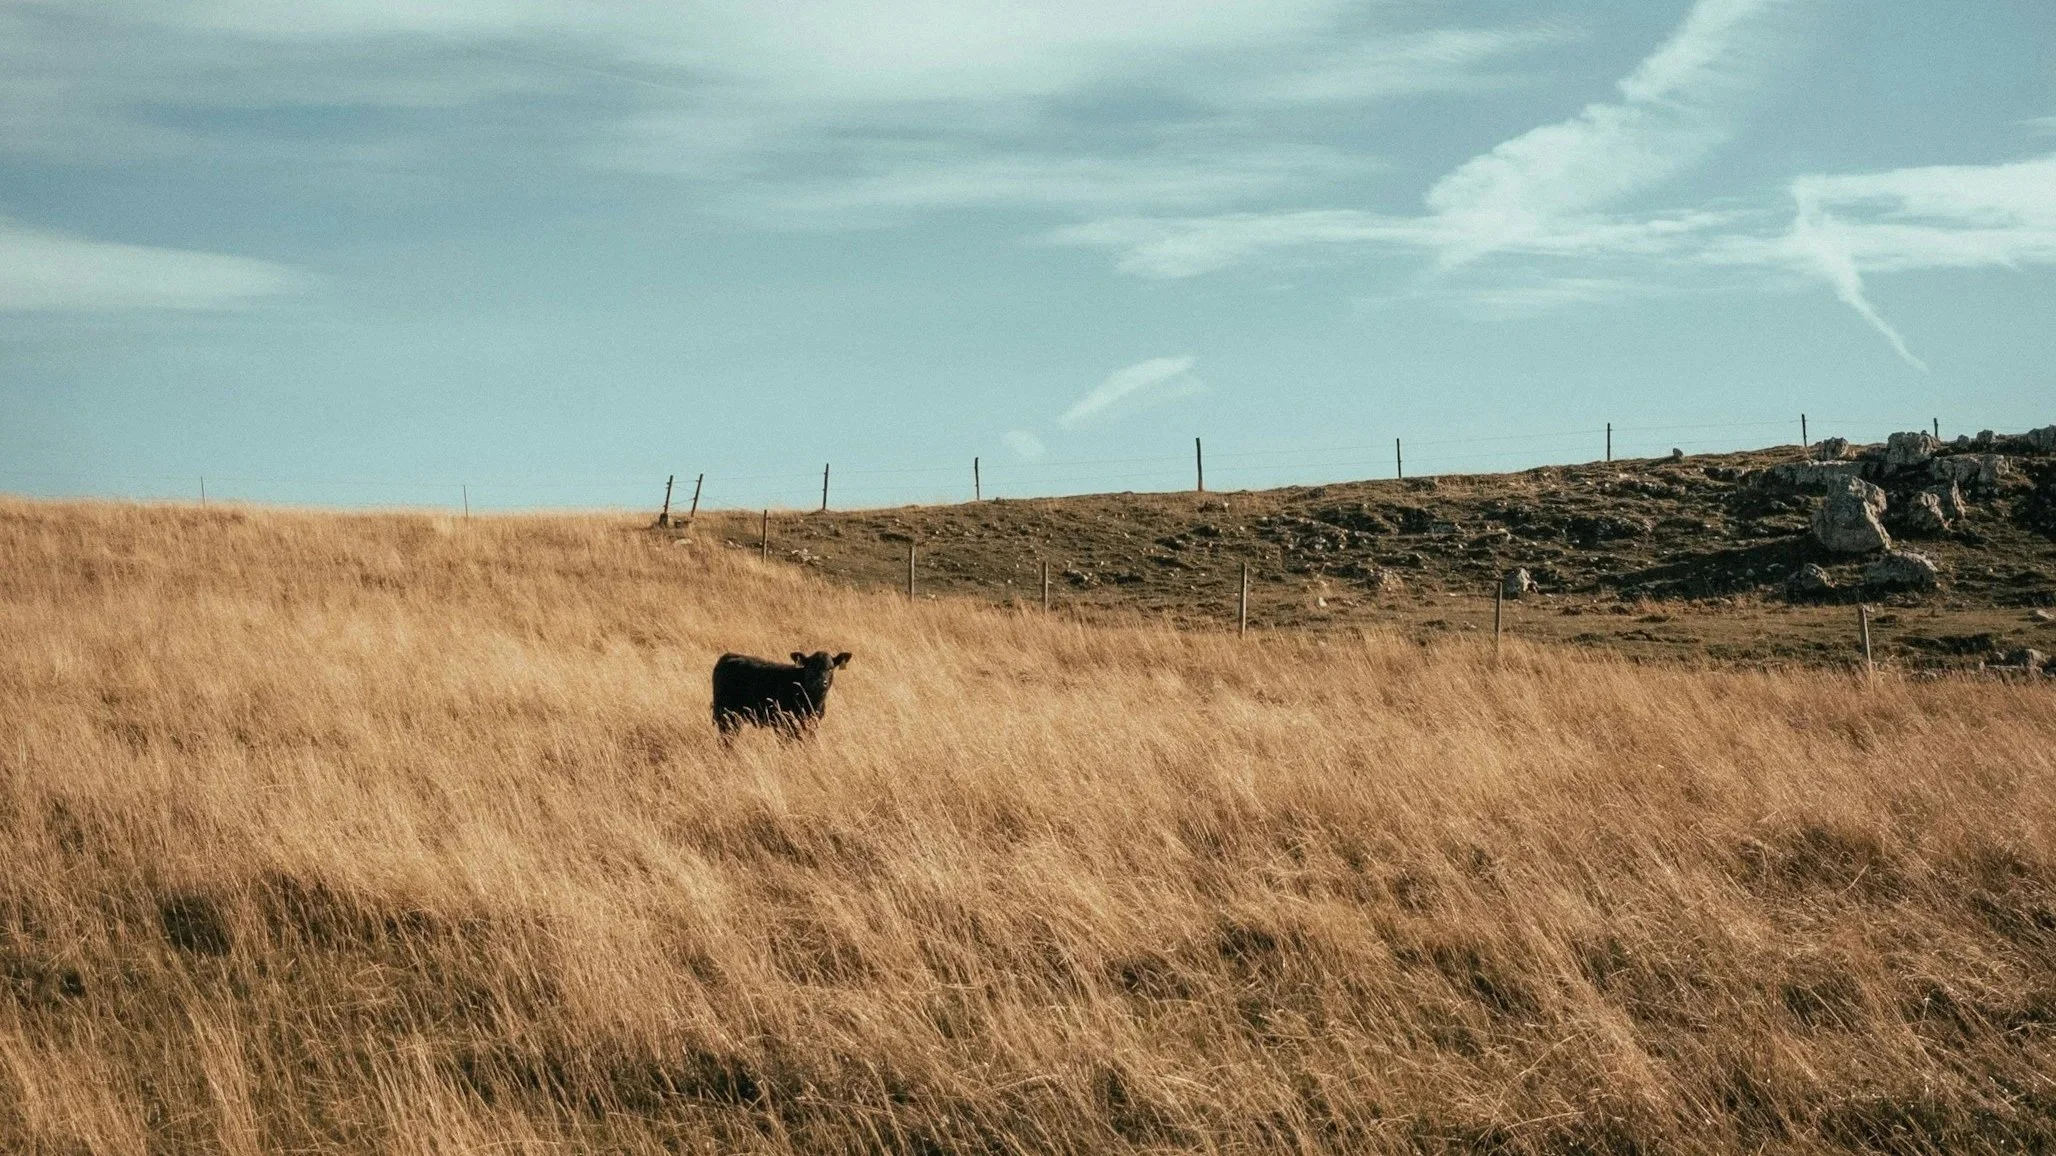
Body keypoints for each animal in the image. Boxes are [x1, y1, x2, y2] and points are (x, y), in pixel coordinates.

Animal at [711, 650, 852, 740]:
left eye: (830, 668)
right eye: (810, 667)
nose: (821, 682)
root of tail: (728, 656)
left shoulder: (812, 723)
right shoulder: (784, 723)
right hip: (726, 715)